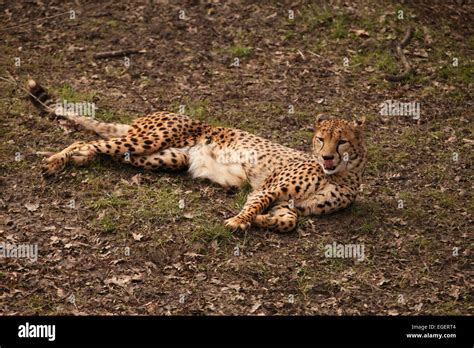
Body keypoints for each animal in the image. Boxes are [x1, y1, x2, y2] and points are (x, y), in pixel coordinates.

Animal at [26, 79, 366, 234]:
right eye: (321, 139)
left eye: (342, 141)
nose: (327, 157)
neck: (341, 175)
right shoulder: (269, 188)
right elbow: (253, 205)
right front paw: (239, 220)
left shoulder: (286, 203)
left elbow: (288, 221)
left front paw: (260, 221)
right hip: (149, 138)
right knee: (88, 140)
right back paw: (56, 161)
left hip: (167, 157)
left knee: (107, 149)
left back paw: (80, 158)